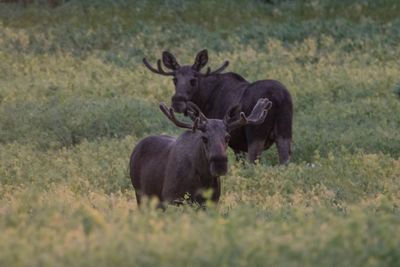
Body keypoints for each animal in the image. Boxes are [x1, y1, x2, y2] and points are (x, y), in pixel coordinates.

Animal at [130, 98, 274, 207]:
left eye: (228, 137)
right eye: (204, 138)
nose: (220, 163)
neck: (203, 180)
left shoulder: (210, 203)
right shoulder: (171, 199)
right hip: (140, 194)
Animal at [142, 49, 292, 164]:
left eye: (193, 80)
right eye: (174, 79)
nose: (178, 101)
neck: (204, 99)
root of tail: (278, 97)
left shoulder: (233, 140)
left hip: (255, 135)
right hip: (285, 133)